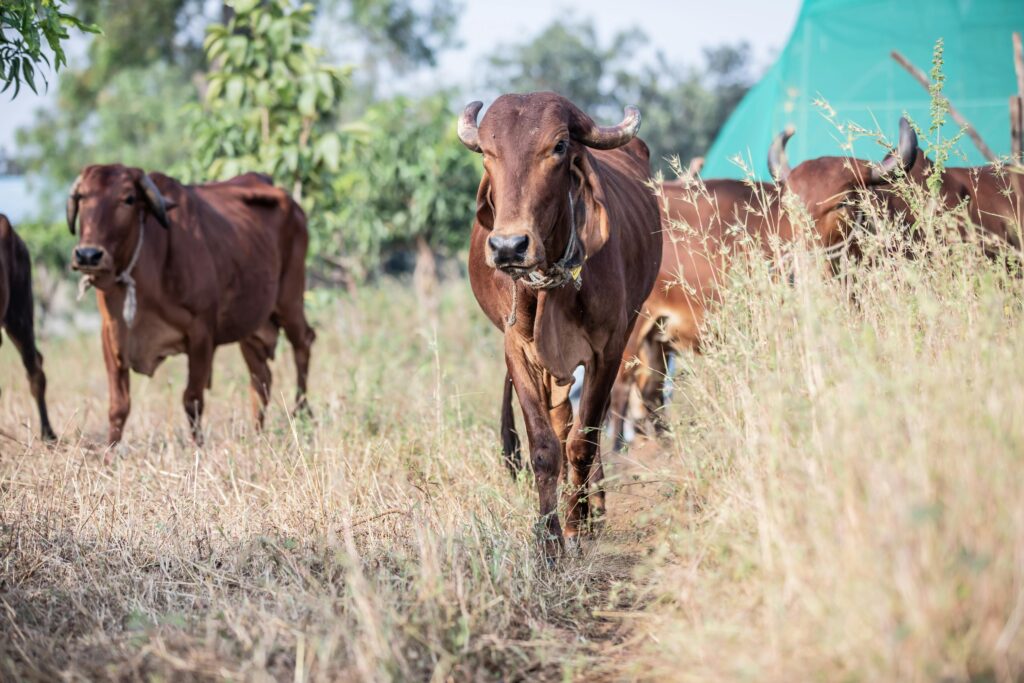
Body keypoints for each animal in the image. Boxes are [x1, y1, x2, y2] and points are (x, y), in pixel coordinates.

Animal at [67, 165, 315, 446]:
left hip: (290, 301)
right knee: (261, 381)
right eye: (82, 196)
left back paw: (301, 413)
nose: (88, 255)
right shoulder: (111, 337)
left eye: (128, 198)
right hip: (252, 329)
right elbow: (119, 406)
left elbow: (192, 399)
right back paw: (258, 437)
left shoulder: (201, 334)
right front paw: (109, 453)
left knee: (303, 344)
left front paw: (198, 448)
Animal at [457, 92, 663, 555]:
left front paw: (574, 527)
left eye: (558, 146)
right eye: (488, 155)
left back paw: (593, 508)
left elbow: (583, 442)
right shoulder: (518, 350)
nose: (509, 246)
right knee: (562, 423)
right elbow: (545, 447)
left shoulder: (609, 349)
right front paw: (549, 541)